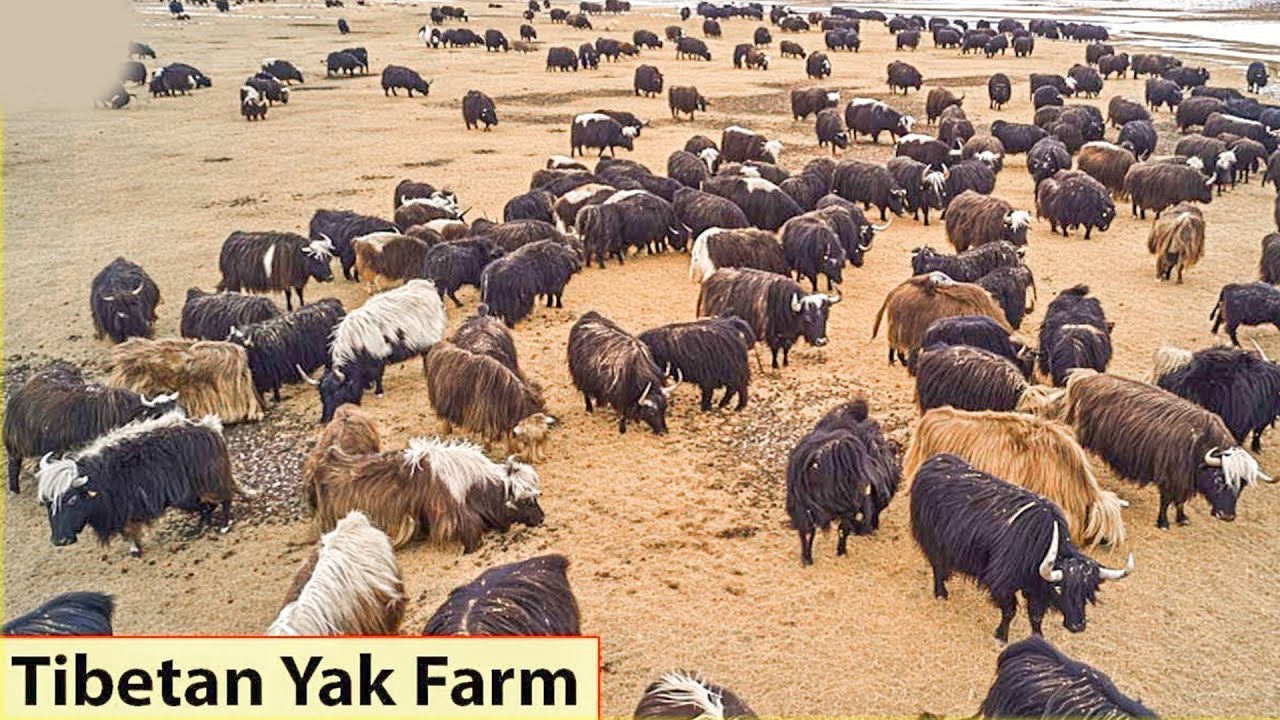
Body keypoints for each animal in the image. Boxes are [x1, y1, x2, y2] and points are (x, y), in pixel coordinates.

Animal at [37, 412, 247, 555]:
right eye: (47, 503)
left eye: (72, 500)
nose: (59, 541)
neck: (100, 481)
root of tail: (211, 428)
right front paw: (133, 549)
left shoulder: (126, 509)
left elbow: (129, 530)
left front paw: (136, 549)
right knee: (207, 507)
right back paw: (202, 527)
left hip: (209, 484)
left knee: (224, 498)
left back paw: (224, 526)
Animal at [786, 397, 900, 565]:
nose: (874, 528)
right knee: (837, 530)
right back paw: (841, 552)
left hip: (802, 505)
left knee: (807, 531)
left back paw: (807, 560)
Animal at [910, 453, 1133, 641]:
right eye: (1060, 588)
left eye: (1088, 591)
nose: (1077, 626)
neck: (1038, 549)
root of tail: (933, 462)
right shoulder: (1002, 583)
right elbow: (1010, 611)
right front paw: (1001, 636)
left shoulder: (1037, 590)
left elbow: (1035, 616)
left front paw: (1038, 637)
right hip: (932, 539)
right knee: (936, 565)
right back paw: (941, 593)